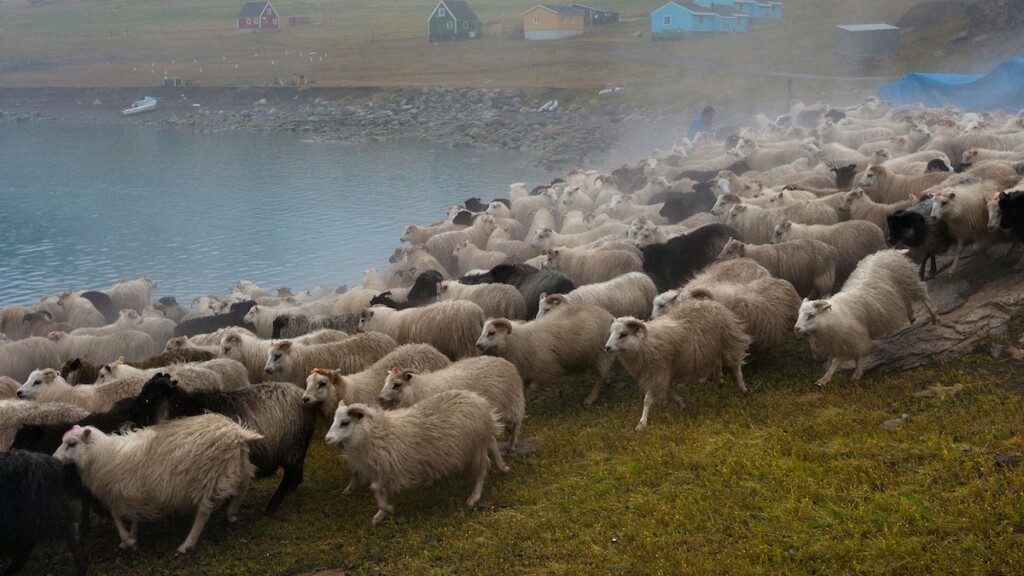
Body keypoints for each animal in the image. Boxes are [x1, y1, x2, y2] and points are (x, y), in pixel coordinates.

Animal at [53, 412, 262, 553]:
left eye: (72, 444)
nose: (54, 459)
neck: (100, 455)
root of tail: (236, 431)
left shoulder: (120, 491)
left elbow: (116, 515)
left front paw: (127, 539)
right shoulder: (133, 492)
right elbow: (132, 516)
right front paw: (132, 537)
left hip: (206, 477)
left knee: (204, 511)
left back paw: (187, 543)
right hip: (237, 464)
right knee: (245, 484)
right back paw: (231, 513)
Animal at [323, 387, 507, 522]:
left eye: (345, 422)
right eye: (334, 421)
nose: (327, 439)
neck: (375, 433)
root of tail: (479, 400)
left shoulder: (391, 468)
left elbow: (375, 488)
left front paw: (386, 509)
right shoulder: (385, 469)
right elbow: (378, 489)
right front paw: (380, 514)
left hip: (475, 446)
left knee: (483, 467)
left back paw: (474, 497)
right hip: (480, 441)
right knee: (493, 444)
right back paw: (503, 466)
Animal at [378, 354, 528, 448]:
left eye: (397, 384)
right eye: (385, 382)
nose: (380, 398)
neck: (418, 388)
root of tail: (505, 361)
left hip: (513, 403)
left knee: (518, 422)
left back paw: (512, 446)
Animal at [602, 297, 749, 428]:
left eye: (623, 334)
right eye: (610, 333)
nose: (607, 348)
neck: (643, 343)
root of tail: (712, 302)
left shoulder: (657, 371)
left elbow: (647, 399)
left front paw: (642, 423)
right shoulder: (662, 372)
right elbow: (669, 391)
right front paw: (681, 404)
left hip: (728, 340)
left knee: (735, 366)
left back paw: (743, 388)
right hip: (714, 347)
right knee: (717, 363)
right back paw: (718, 382)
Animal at [794, 248, 937, 385]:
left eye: (811, 315)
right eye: (799, 314)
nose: (796, 328)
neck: (832, 317)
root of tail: (891, 251)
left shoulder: (855, 336)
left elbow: (854, 357)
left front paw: (857, 374)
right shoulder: (842, 341)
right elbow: (837, 361)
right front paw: (825, 379)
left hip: (909, 281)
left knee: (924, 296)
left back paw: (935, 317)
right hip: (900, 289)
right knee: (907, 300)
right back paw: (912, 316)